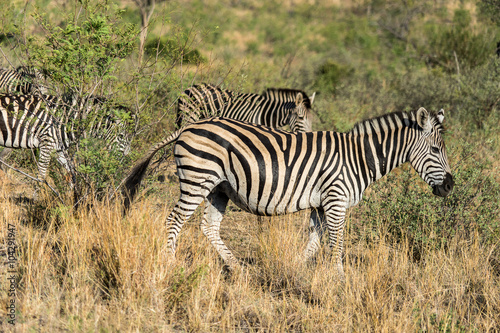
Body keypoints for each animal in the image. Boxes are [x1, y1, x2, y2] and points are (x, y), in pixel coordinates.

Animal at [0, 92, 133, 183]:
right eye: (121, 136)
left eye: (129, 139)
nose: (125, 158)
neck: (68, 119)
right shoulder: (47, 144)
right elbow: (41, 175)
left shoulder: (58, 148)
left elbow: (72, 172)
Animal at [124, 107, 454, 274]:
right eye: (436, 150)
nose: (450, 186)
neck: (358, 158)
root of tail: (188, 127)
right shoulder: (335, 199)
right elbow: (337, 243)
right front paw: (340, 279)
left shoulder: (321, 203)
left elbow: (315, 243)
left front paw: (294, 269)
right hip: (197, 179)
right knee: (174, 221)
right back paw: (170, 264)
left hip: (219, 188)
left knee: (209, 227)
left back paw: (239, 269)